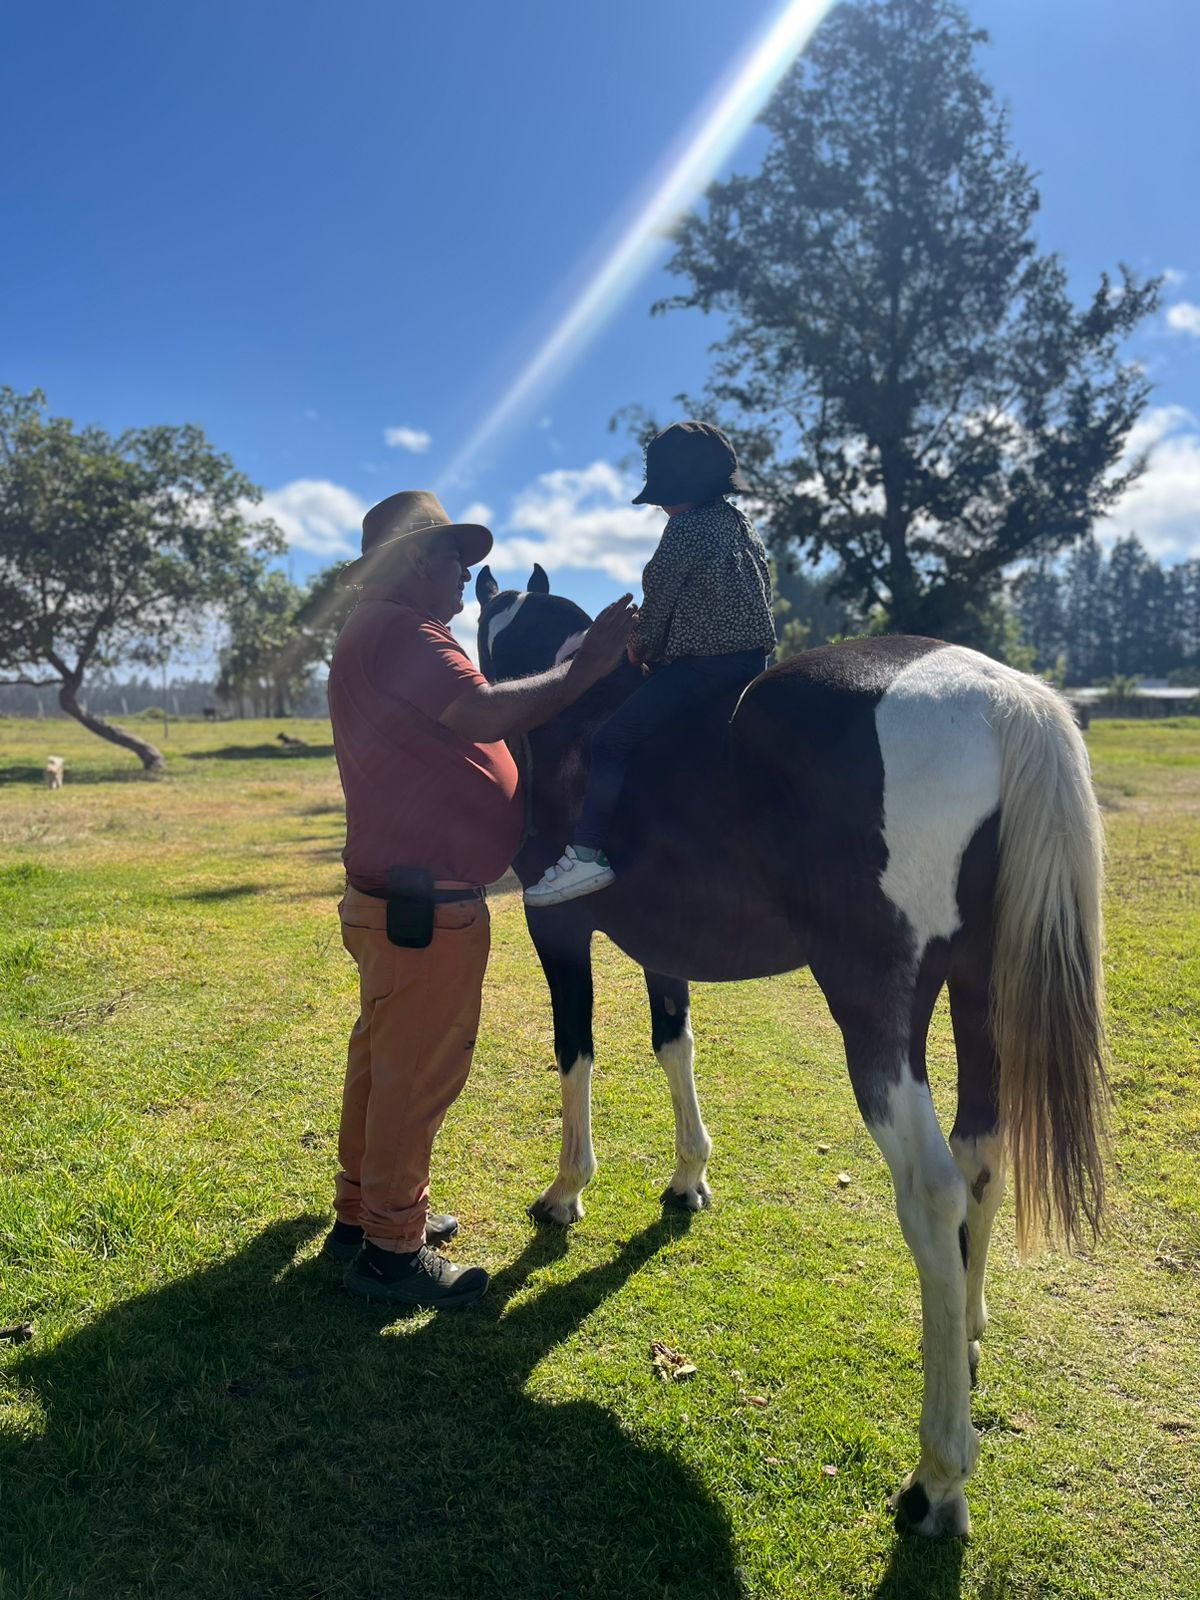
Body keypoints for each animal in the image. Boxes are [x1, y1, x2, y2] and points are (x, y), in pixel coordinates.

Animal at [474, 563, 1107, 1538]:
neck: (577, 711)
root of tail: (1003, 695)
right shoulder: (665, 947)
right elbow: (674, 1045)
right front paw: (688, 1177)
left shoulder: (560, 933)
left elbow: (574, 1052)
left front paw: (567, 1189)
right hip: (981, 994)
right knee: (983, 1155)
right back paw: (961, 1338)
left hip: (876, 1011)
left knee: (932, 1189)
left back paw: (939, 1476)